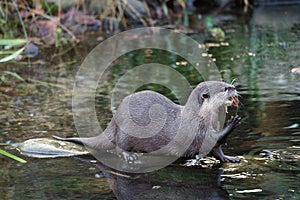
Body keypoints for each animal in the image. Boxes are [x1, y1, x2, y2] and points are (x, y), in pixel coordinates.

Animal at [53, 81, 241, 162]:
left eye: (227, 83)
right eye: (225, 88)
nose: (234, 88)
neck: (200, 117)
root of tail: (115, 120)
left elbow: (217, 149)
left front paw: (229, 158)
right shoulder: (195, 130)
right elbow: (213, 140)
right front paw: (232, 124)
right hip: (126, 132)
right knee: (119, 147)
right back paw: (130, 155)